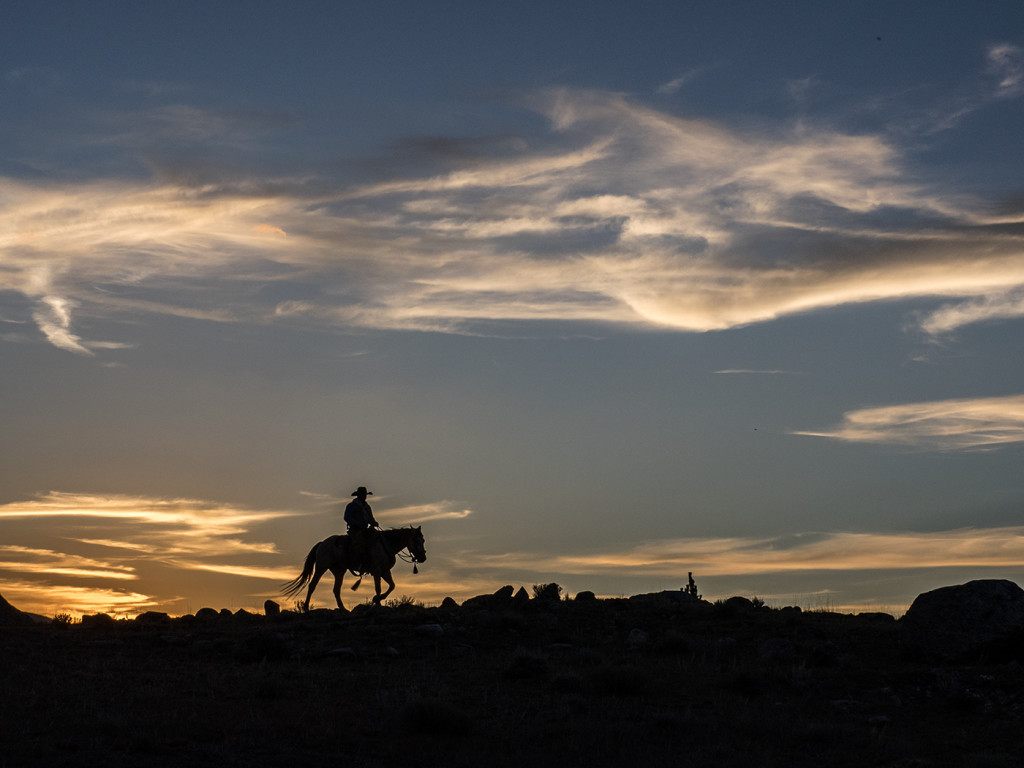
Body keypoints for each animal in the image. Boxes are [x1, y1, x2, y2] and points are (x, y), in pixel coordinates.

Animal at [280, 524, 423, 614]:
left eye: (423, 540)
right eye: (416, 540)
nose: (423, 557)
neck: (386, 544)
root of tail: (322, 543)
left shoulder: (385, 571)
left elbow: (392, 586)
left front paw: (377, 599)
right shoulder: (377, 570)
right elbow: (378, 588)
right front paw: (377, 603)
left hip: (339, 571)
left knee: (336, 590)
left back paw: (343, 608)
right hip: (321, 567)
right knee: (312, 585)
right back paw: (305, 607)